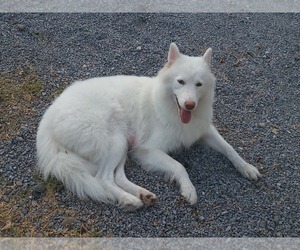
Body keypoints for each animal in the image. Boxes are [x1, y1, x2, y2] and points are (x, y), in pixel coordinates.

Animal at [36, 43, 260, 211]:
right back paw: (129, 199)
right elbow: (178, 165)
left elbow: (229, 148)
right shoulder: (148, 149)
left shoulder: (204, 130)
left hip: (124, 143)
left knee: (117, 175)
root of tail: (48, 116)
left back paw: (142, 194)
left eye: (199, 84)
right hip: (116, 140)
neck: (169, 105)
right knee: (103, 178)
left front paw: (246, 167)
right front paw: (189, 189)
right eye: (180, 81)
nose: (189, 105)